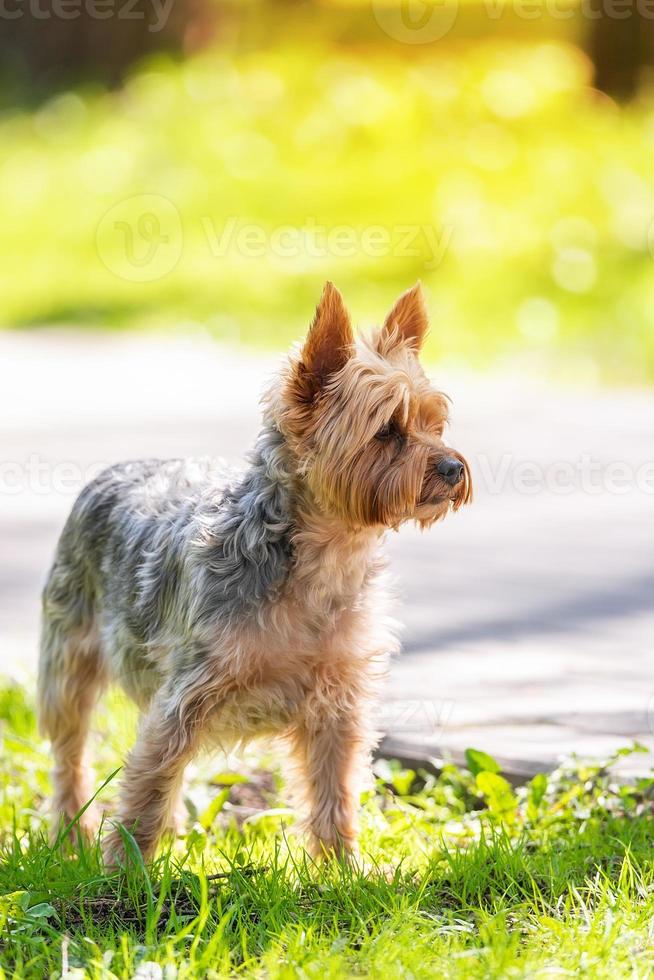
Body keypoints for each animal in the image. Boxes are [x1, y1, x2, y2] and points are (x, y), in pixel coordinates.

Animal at [37, 280, 472, 860]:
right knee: (70, 749)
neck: (322, 559)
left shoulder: (338, 702)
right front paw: (125, 870)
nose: (453, 467)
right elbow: (148, 782)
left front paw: (346, 868)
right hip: (69, 656)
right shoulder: (187, 693)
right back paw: (71, 836)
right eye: (386, 430)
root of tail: (115, 469)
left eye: (434, 424)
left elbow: (334, 791)